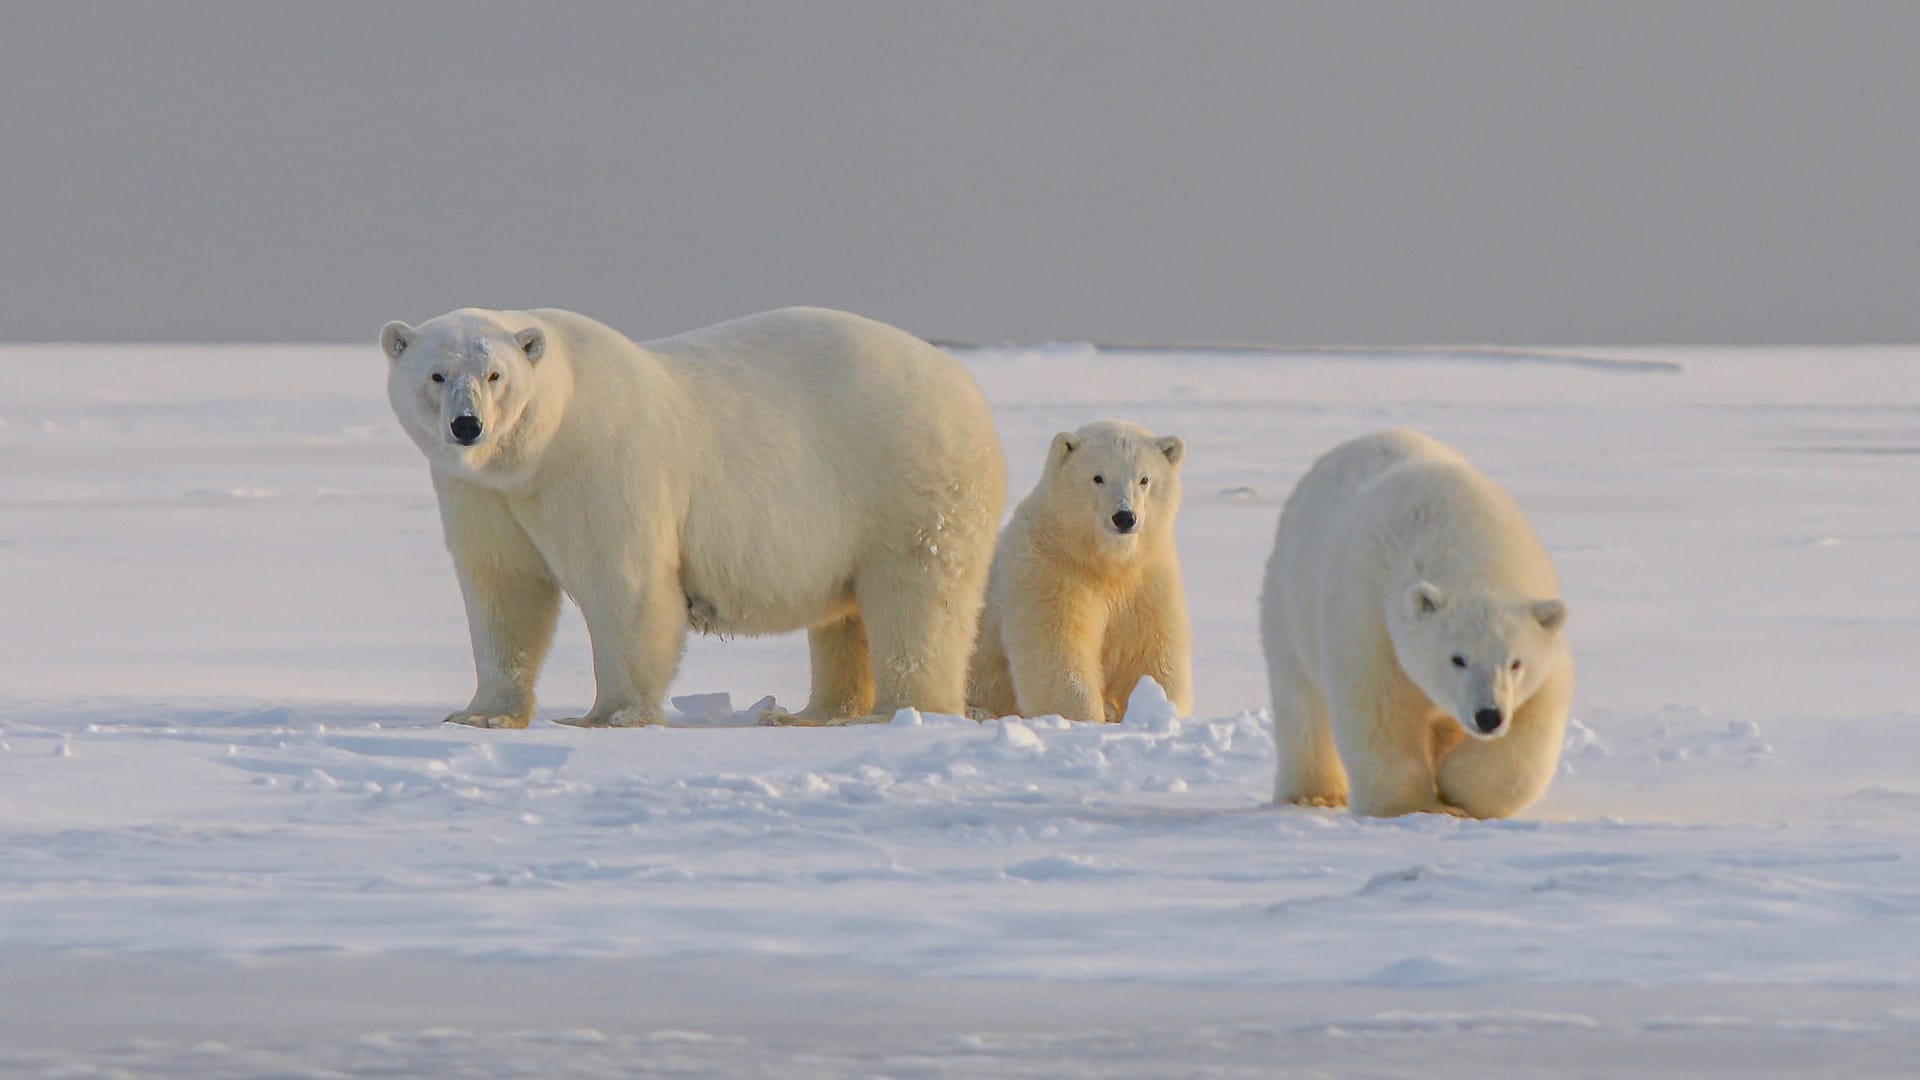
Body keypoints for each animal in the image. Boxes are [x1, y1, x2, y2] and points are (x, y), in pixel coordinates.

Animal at [381, 305, 1007, 729]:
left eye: (495, 376)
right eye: (436, 375)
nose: (467, 426)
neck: (540, 448)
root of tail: (966, 386)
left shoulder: (603, 464)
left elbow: (624, 584)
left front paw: (609, 715)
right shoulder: (482, 493)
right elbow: (503, 590)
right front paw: (481, 714)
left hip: (906, 482)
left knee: (917, 598)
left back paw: (902, 710)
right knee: (845, 617)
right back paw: (814, 712)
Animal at [967, 420, 1193, 723]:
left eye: (1144, 479)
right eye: (1098, 477)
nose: (1124, 517)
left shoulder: (1147, 578)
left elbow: (1151, 651)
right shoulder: (1049, 571)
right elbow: (1059, 651)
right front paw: (1085, 718)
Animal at [1258, 428, 1571, 818]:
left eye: (1516, 662)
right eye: (1457, 658)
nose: (1488, 716)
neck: (1470, 553)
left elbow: (1534, 722)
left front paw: (1457, 790)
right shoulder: (1369, 616)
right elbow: (1379, 708)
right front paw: (1411, 805)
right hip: (1288, 603)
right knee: (1301, 703)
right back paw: (1312, 794)